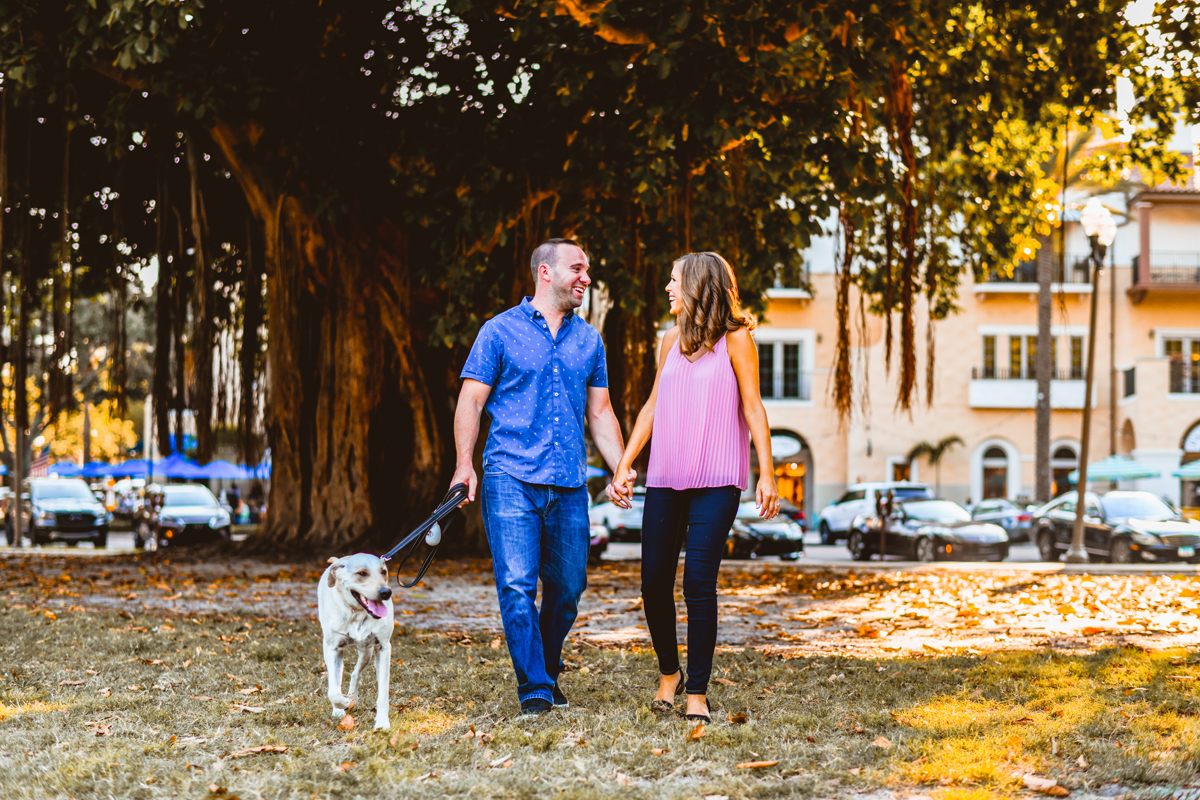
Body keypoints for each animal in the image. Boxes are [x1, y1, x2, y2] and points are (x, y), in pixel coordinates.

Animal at [316, 551, 396, 734]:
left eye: (383, 572)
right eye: (361, 573)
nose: (386, 592)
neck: (357, 614)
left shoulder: (383, 647)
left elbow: (383, 693)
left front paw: (382, 722)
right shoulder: (332, 648)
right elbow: (333, 690)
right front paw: (343, 703)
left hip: (367, 651)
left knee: (355, 673)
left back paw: (353, 696)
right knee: (337, 680)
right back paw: (341, 706)